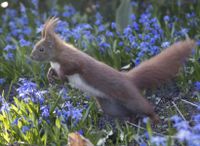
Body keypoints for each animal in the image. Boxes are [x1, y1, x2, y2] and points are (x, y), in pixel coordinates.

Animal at [30, 17, 196, 124]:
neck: (57, 58)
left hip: (129, 96)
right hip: (109, 105)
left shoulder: (73, 61)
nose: (31, 56)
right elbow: (52, 70)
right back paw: (131, 121)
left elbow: (73, 67)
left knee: (145, 106)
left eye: (41, 49)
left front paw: (62, 77)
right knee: (127, 113)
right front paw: (50, 75)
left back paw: (155, 119)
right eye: (35, 46)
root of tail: (127, 78)